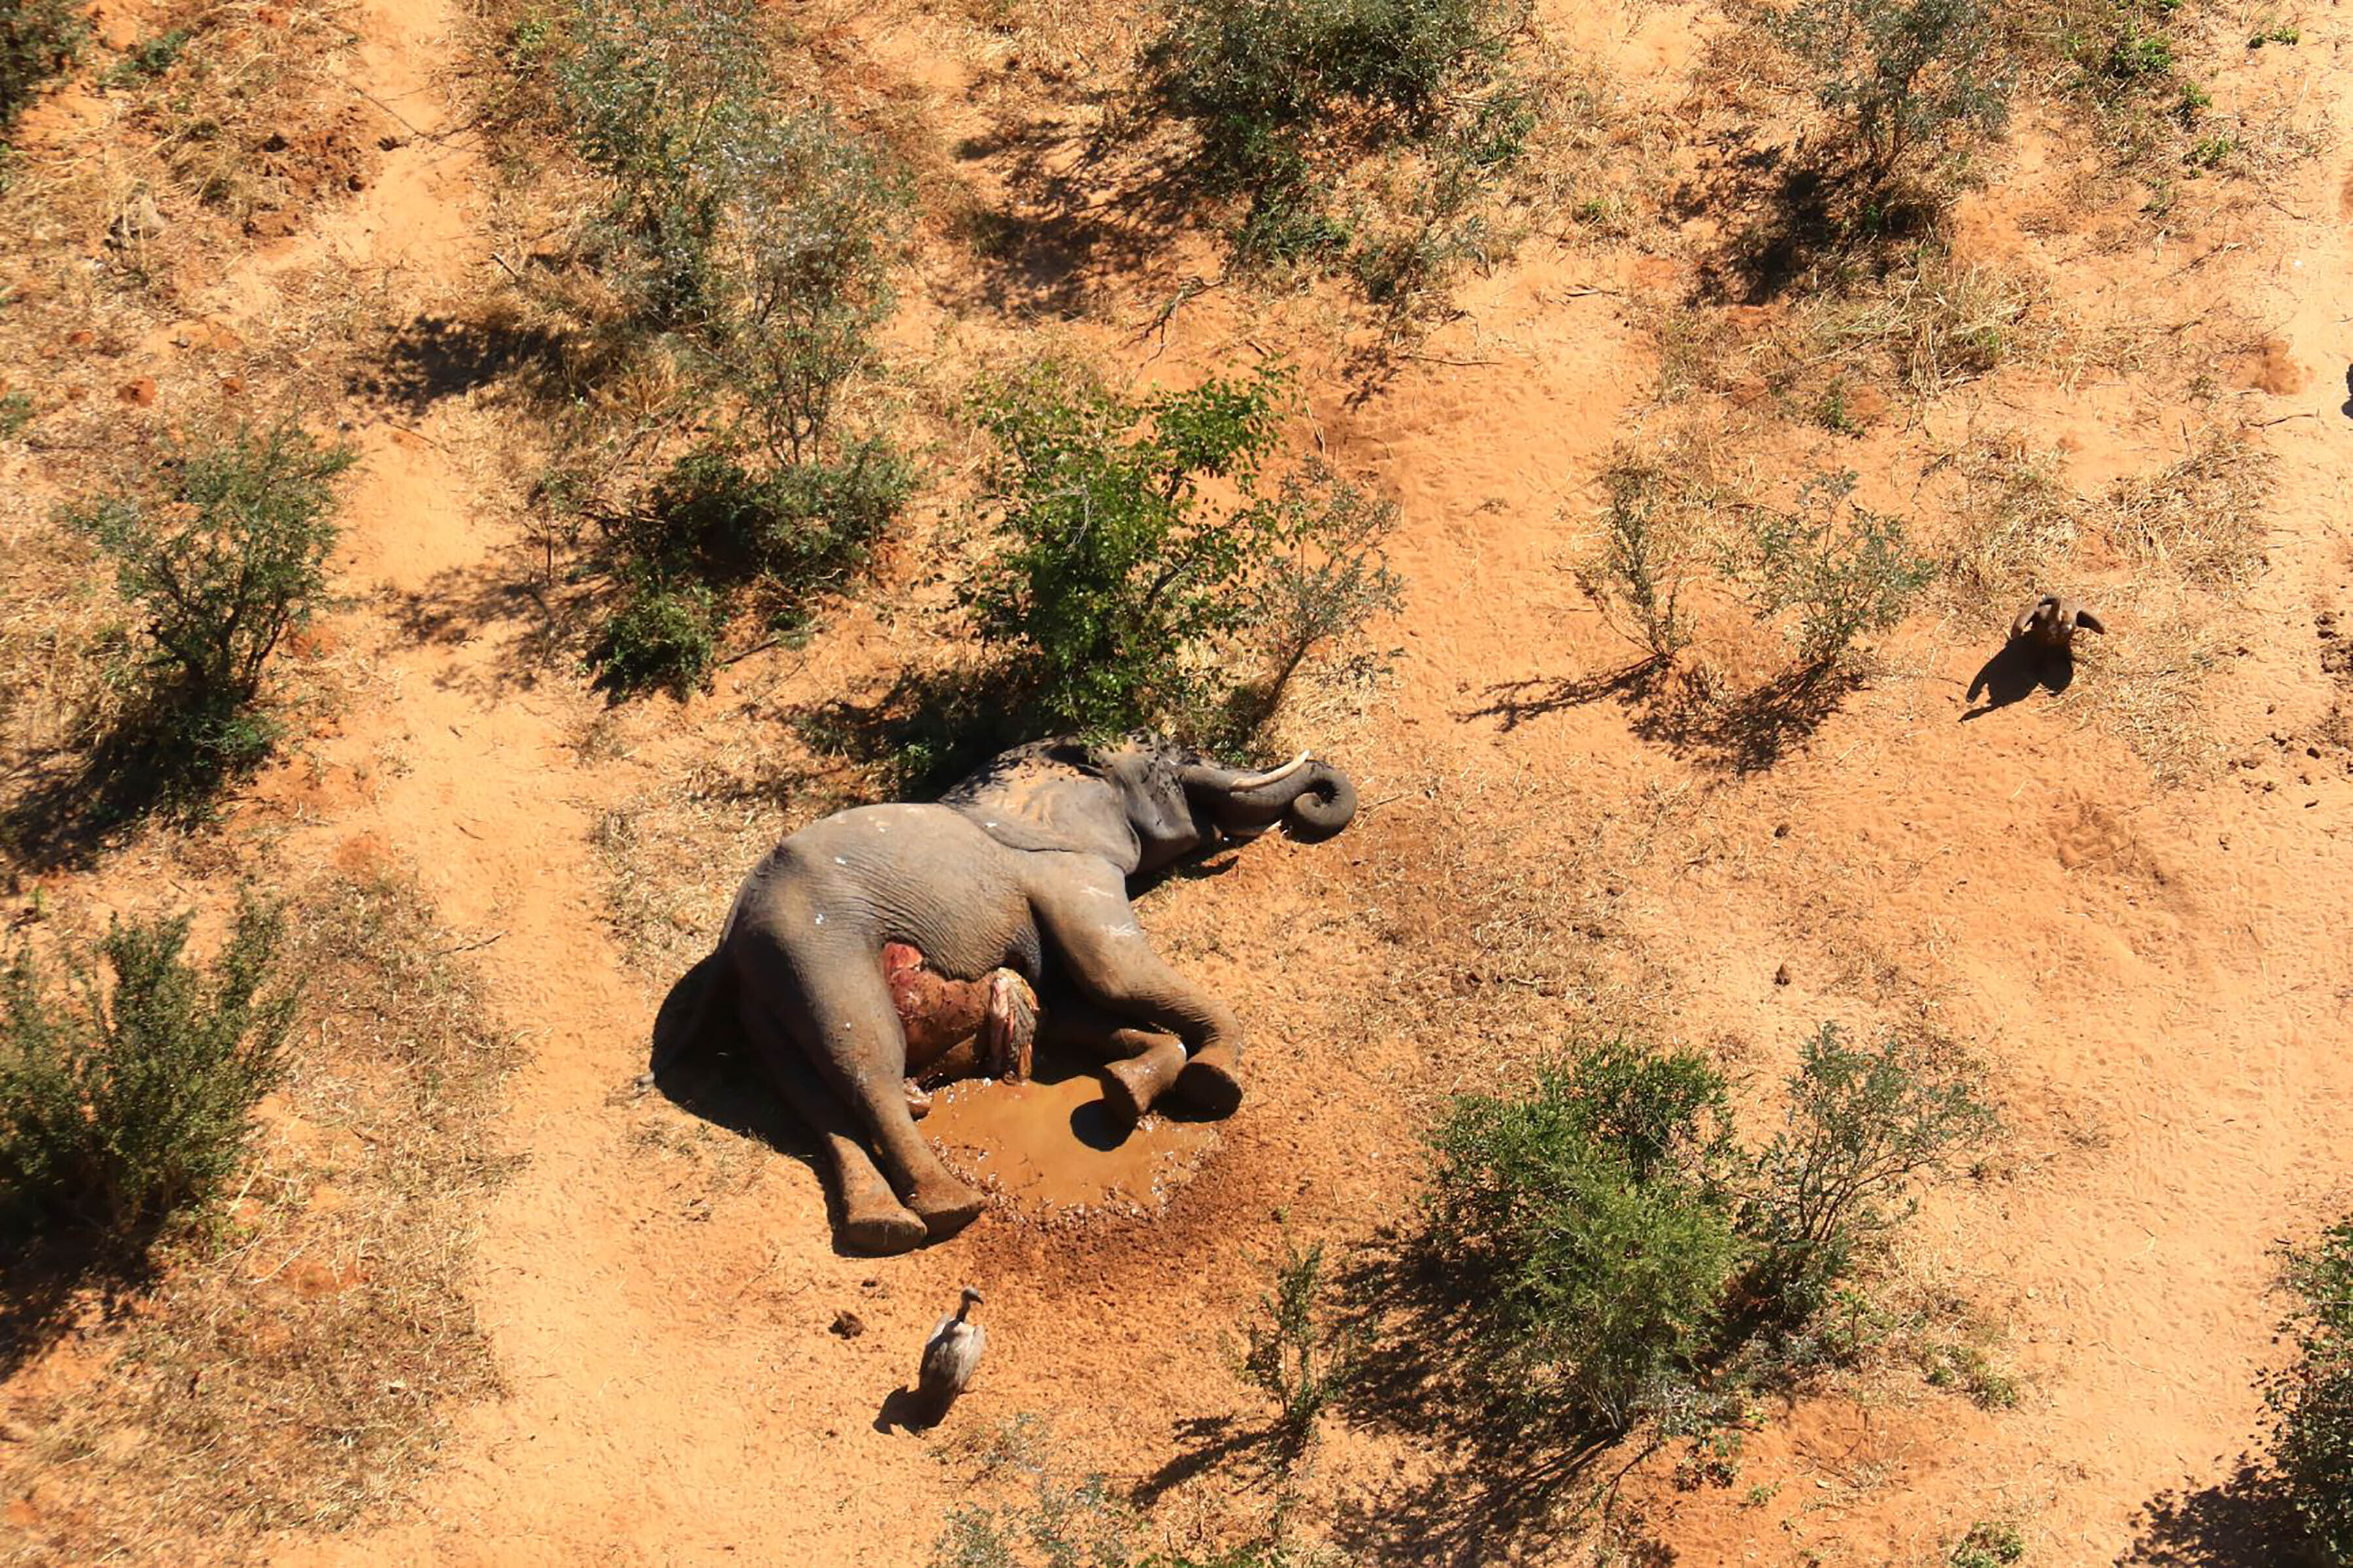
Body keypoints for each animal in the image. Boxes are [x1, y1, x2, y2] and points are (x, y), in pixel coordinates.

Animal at [647, 735, 1357, 1254]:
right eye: (1177, 762)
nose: (1314, 797)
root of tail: (731, 934)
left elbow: (1070, 1007)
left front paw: (1128, 1089)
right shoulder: (1066, 868)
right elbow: (1114, 973)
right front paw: (1214, 1082)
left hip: (767, 987)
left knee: (811, 1097)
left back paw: (884, 1227)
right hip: (816, 946)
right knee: (866, 1063)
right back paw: (951, 1208)